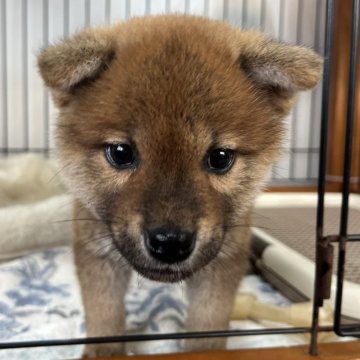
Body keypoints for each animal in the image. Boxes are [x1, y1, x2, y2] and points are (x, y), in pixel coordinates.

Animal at [38, 14, 322, 358]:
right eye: (120, 153)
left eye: (220, 157)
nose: (170, 242)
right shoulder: (97, 251)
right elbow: (104, 316)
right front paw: (104, 352)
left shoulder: (224, 260)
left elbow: (207, 325)